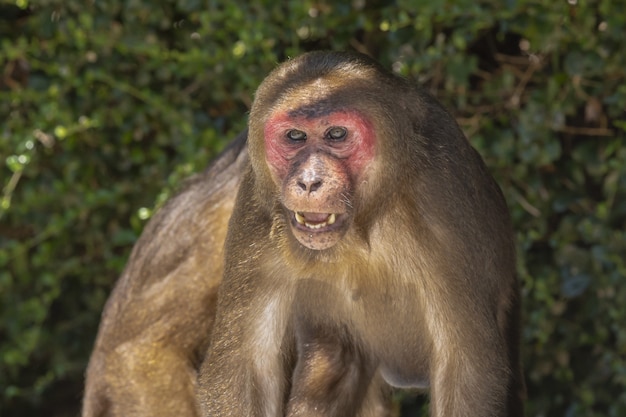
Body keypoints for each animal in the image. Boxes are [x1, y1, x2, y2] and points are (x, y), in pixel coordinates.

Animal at [199, 52, 520, 416]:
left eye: (336, 134)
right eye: (295, 137)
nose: (308, 181)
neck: (362, 221)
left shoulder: (445, 200)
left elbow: (464, 370)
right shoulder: (258, 205)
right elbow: (244, 368)